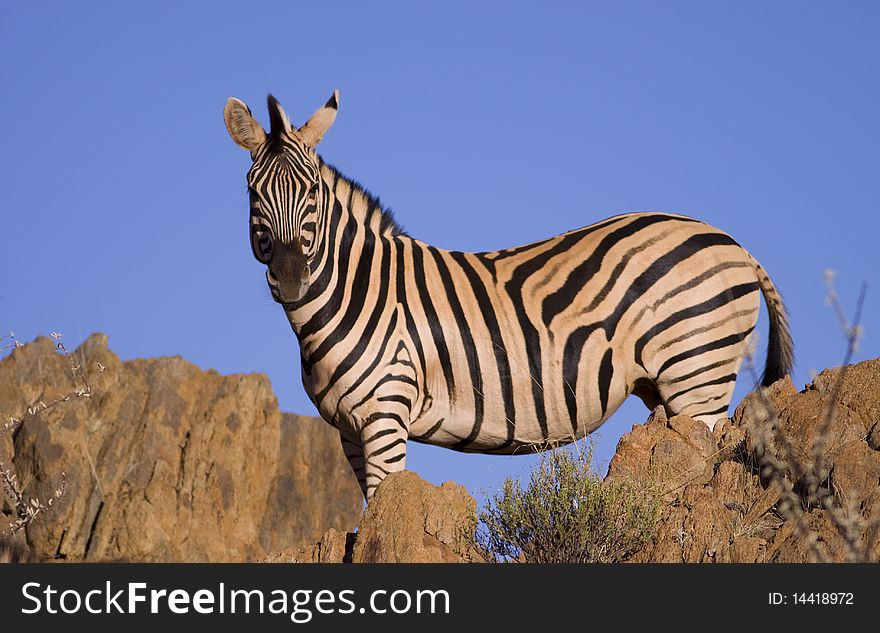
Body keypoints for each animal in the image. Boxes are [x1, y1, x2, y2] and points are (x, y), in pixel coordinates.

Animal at [223, 91, 796, 502]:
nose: (291, 278)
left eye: (313, 193)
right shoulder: (348, 428)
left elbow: (381, 507)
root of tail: (734, 243)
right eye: (253, 194)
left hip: (697, 372)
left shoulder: (386, 412)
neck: (350, 292)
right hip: (670, 384)